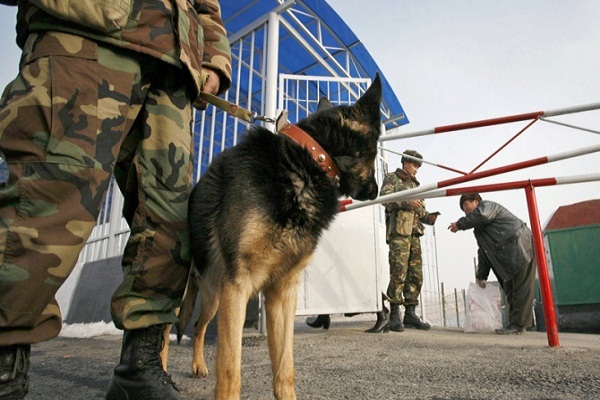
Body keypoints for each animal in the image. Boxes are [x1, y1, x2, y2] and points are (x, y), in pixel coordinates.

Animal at [176, 73, 380, 398]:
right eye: (376, 148)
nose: (376, 191)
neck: (307, 160)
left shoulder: (282, 292)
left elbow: (285, 368)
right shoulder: (238, 284)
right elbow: (230, 370)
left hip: (214, 296)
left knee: (197, 327)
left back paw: (197, 365)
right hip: (196, 289)